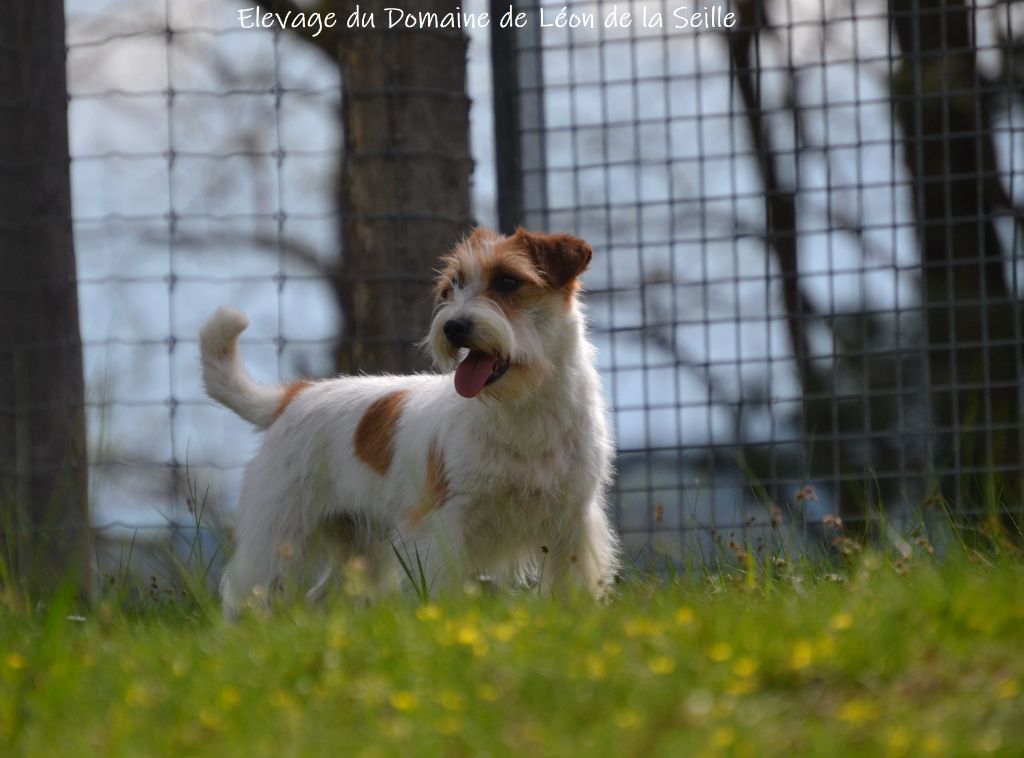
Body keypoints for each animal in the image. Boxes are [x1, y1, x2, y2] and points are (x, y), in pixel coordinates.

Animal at [200, 227, 619, 617]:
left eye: (508, 281)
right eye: (453, 286)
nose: (453, 327)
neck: (521, 409)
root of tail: (291, 397)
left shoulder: (572, 521)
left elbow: (570, 584)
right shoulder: (446, 523)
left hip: (359, 548)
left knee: (320, 596)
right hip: (279, 533)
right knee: (248, 593)